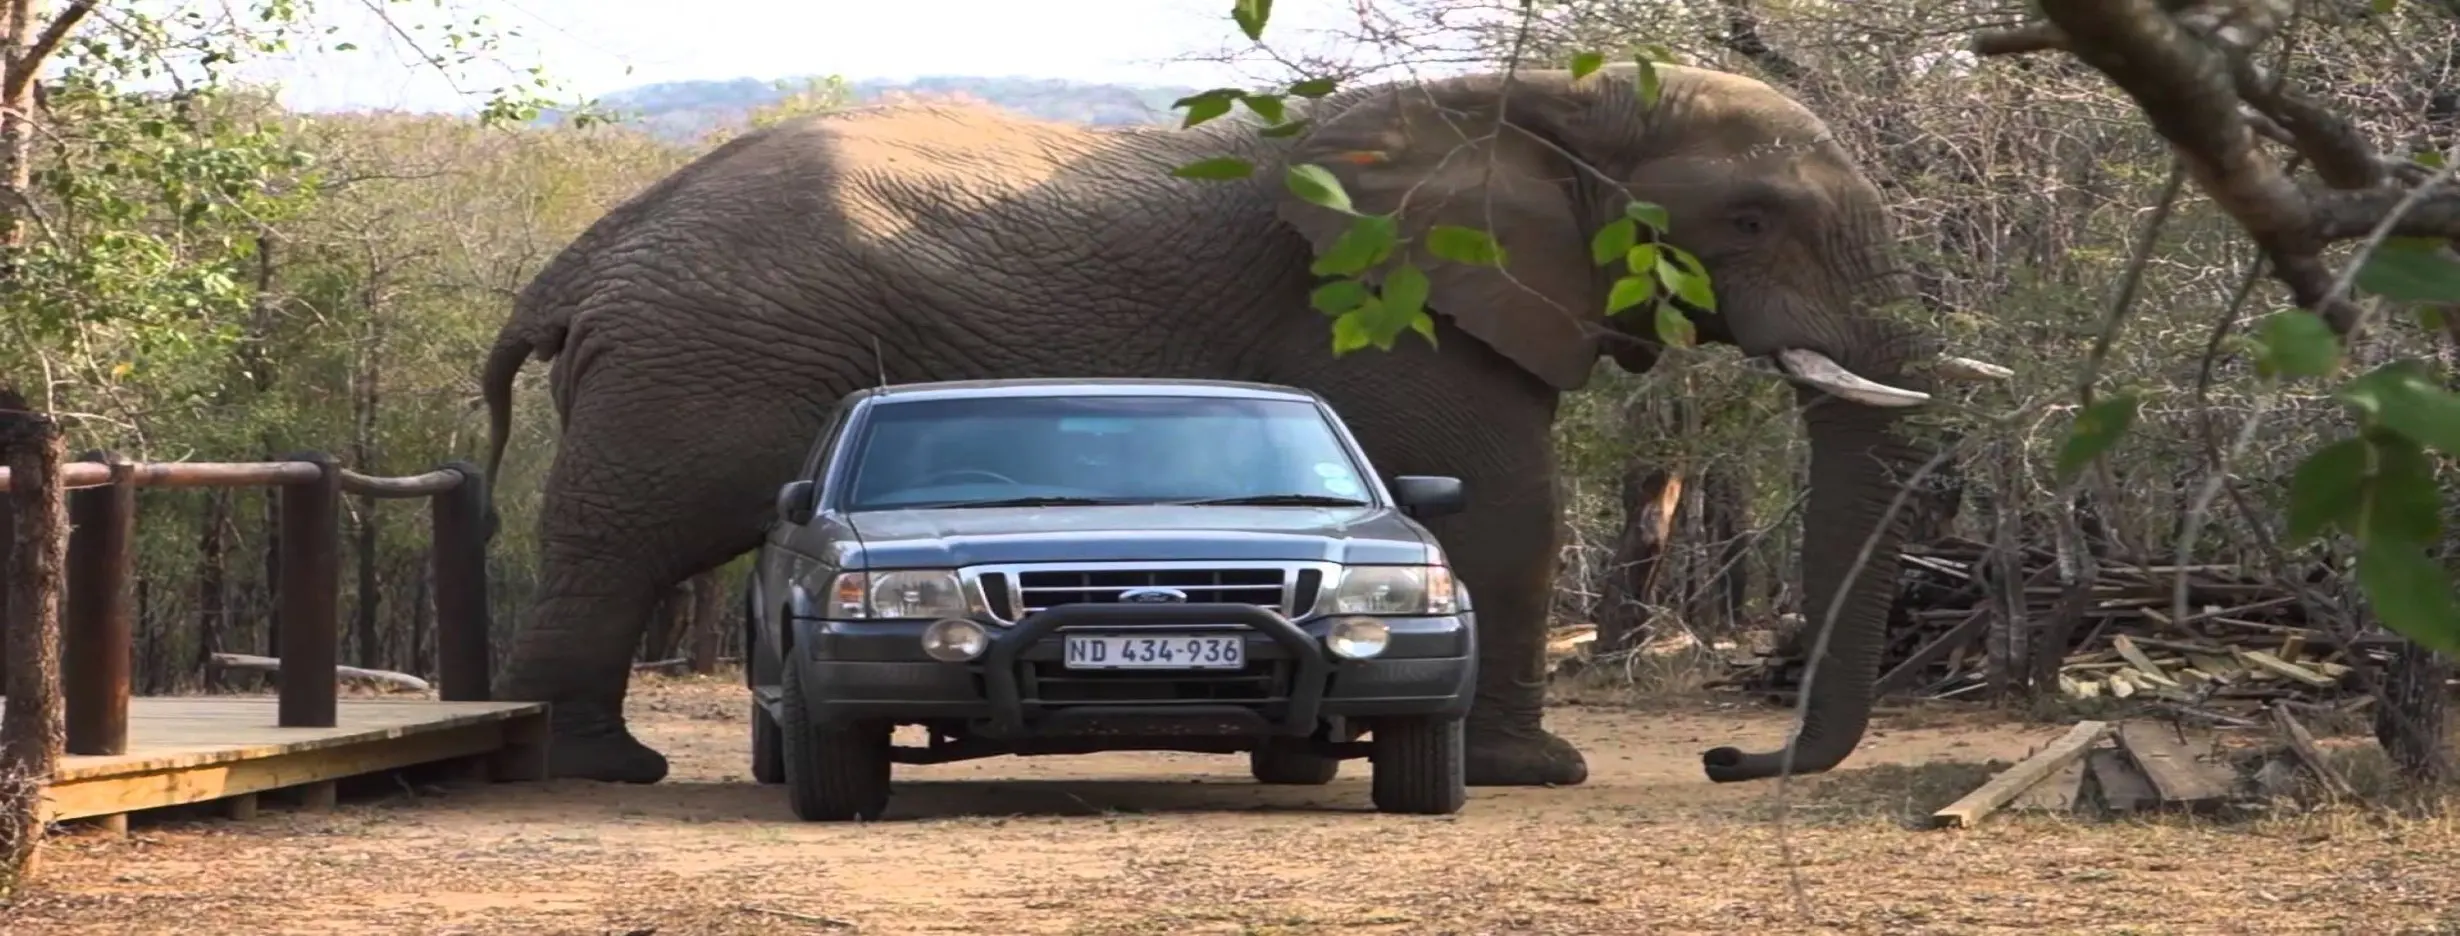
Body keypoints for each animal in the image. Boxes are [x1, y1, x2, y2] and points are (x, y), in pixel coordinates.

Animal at [476, 60, 2007, 788]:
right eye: (1750, 220)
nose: (1726, 754)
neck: (1531, 93)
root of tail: (583, 258)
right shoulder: (1388, 305)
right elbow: (1509, 511)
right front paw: (1540, 774)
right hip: (700, 364)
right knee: (625, 544)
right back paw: (600, 770)